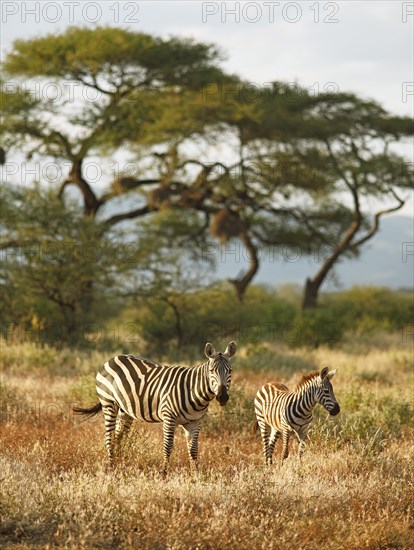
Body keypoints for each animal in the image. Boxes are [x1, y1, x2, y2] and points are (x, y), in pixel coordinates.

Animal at [73, 342, 238, 472]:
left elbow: (193, 449)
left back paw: (120, 464)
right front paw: (163, 473)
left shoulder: (194, 422)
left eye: (230, 371)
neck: (193, 391)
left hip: (125, 410)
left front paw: (196, 474)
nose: (222, 397)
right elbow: (168, 446)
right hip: (108, 403)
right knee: (109, 436)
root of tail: (112, 359)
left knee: (118, 436)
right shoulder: (168, 417)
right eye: (211, 371)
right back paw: (110, 466)